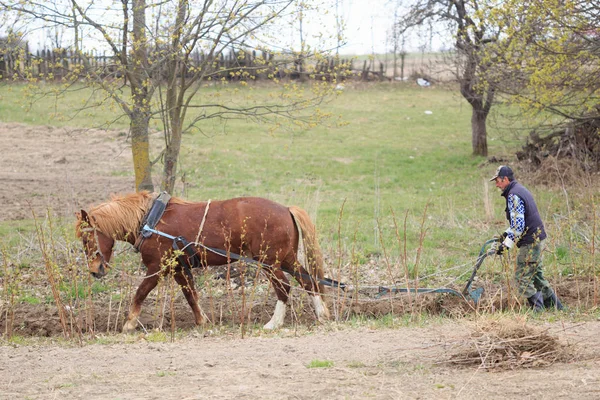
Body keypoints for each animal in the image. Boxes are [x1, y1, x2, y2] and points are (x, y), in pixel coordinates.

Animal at [75, 191, 330, 332]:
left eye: (87, 238)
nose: (95, 270)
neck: (150, 221)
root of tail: (286, 209)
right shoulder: (178, 267)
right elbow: (190, 295)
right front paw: (203, 320)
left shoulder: (159, 267)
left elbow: (140, 292)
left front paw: (129, 324)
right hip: (286, 259)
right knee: (310, 282)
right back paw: (322, 315)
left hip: (269, 261)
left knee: (284, 287)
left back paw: (274, 323)